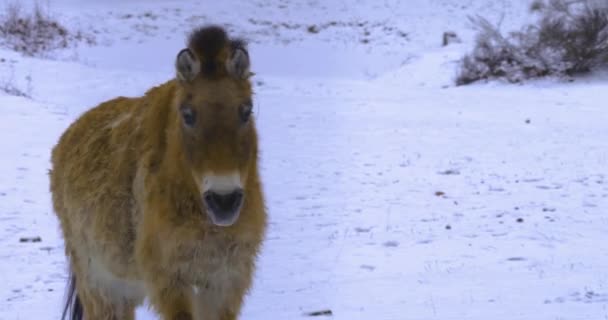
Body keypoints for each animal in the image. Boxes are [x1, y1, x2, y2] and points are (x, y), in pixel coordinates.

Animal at [47, 25, 266, 320]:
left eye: (246, 110)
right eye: (187, 114)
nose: (224, 201)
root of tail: (66, 139)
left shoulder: (225, 281)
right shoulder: (170, 281)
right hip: (100, 286)